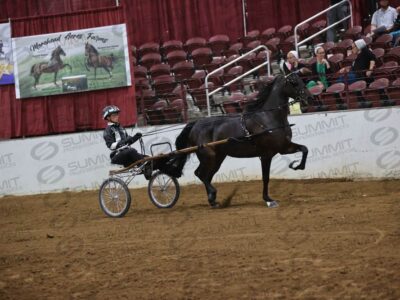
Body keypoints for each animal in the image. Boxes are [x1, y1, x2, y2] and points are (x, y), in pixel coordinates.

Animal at [167, 73, 314, 209]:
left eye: (302, 80)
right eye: (294, 82)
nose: (310, 98)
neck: (268, 118)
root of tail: (196, 124)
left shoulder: (283, 147)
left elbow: (305, 149)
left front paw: (297, 166)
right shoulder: (266, 155)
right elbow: (265, 177)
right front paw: (268, 199)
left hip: (218, 158)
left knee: (207, 176)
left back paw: (213, 200)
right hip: (208, 156)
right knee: (200, 174)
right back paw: (213, 196)